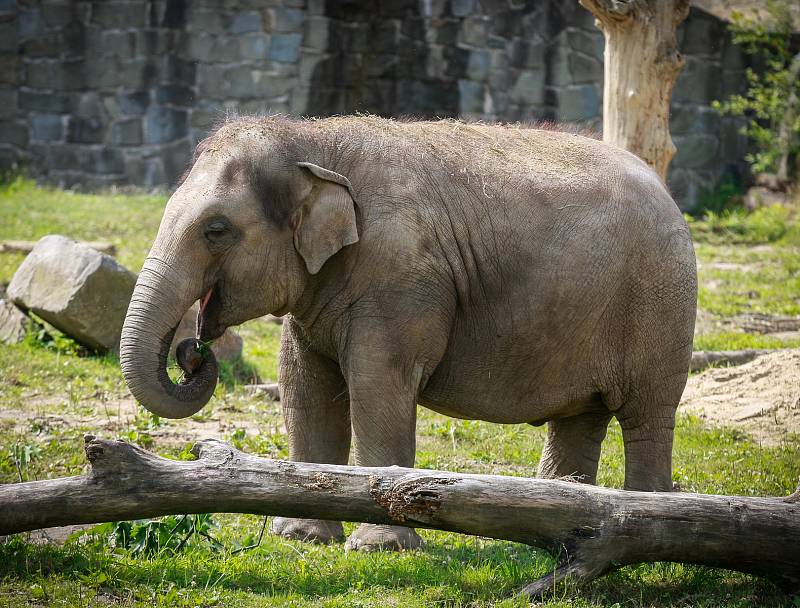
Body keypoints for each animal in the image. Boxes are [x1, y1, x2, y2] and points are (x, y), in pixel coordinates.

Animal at [117, 114, 692, 552]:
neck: (312, 140)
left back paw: (649, 533)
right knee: (579, 418)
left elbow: (377, 385)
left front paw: (378, 548)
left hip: (660, 305)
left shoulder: (400, 282)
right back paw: (547, 535)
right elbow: (306, 387)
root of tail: (666, 190)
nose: (193, 351)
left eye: (216, 231)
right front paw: (302, 537)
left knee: (647, 414)